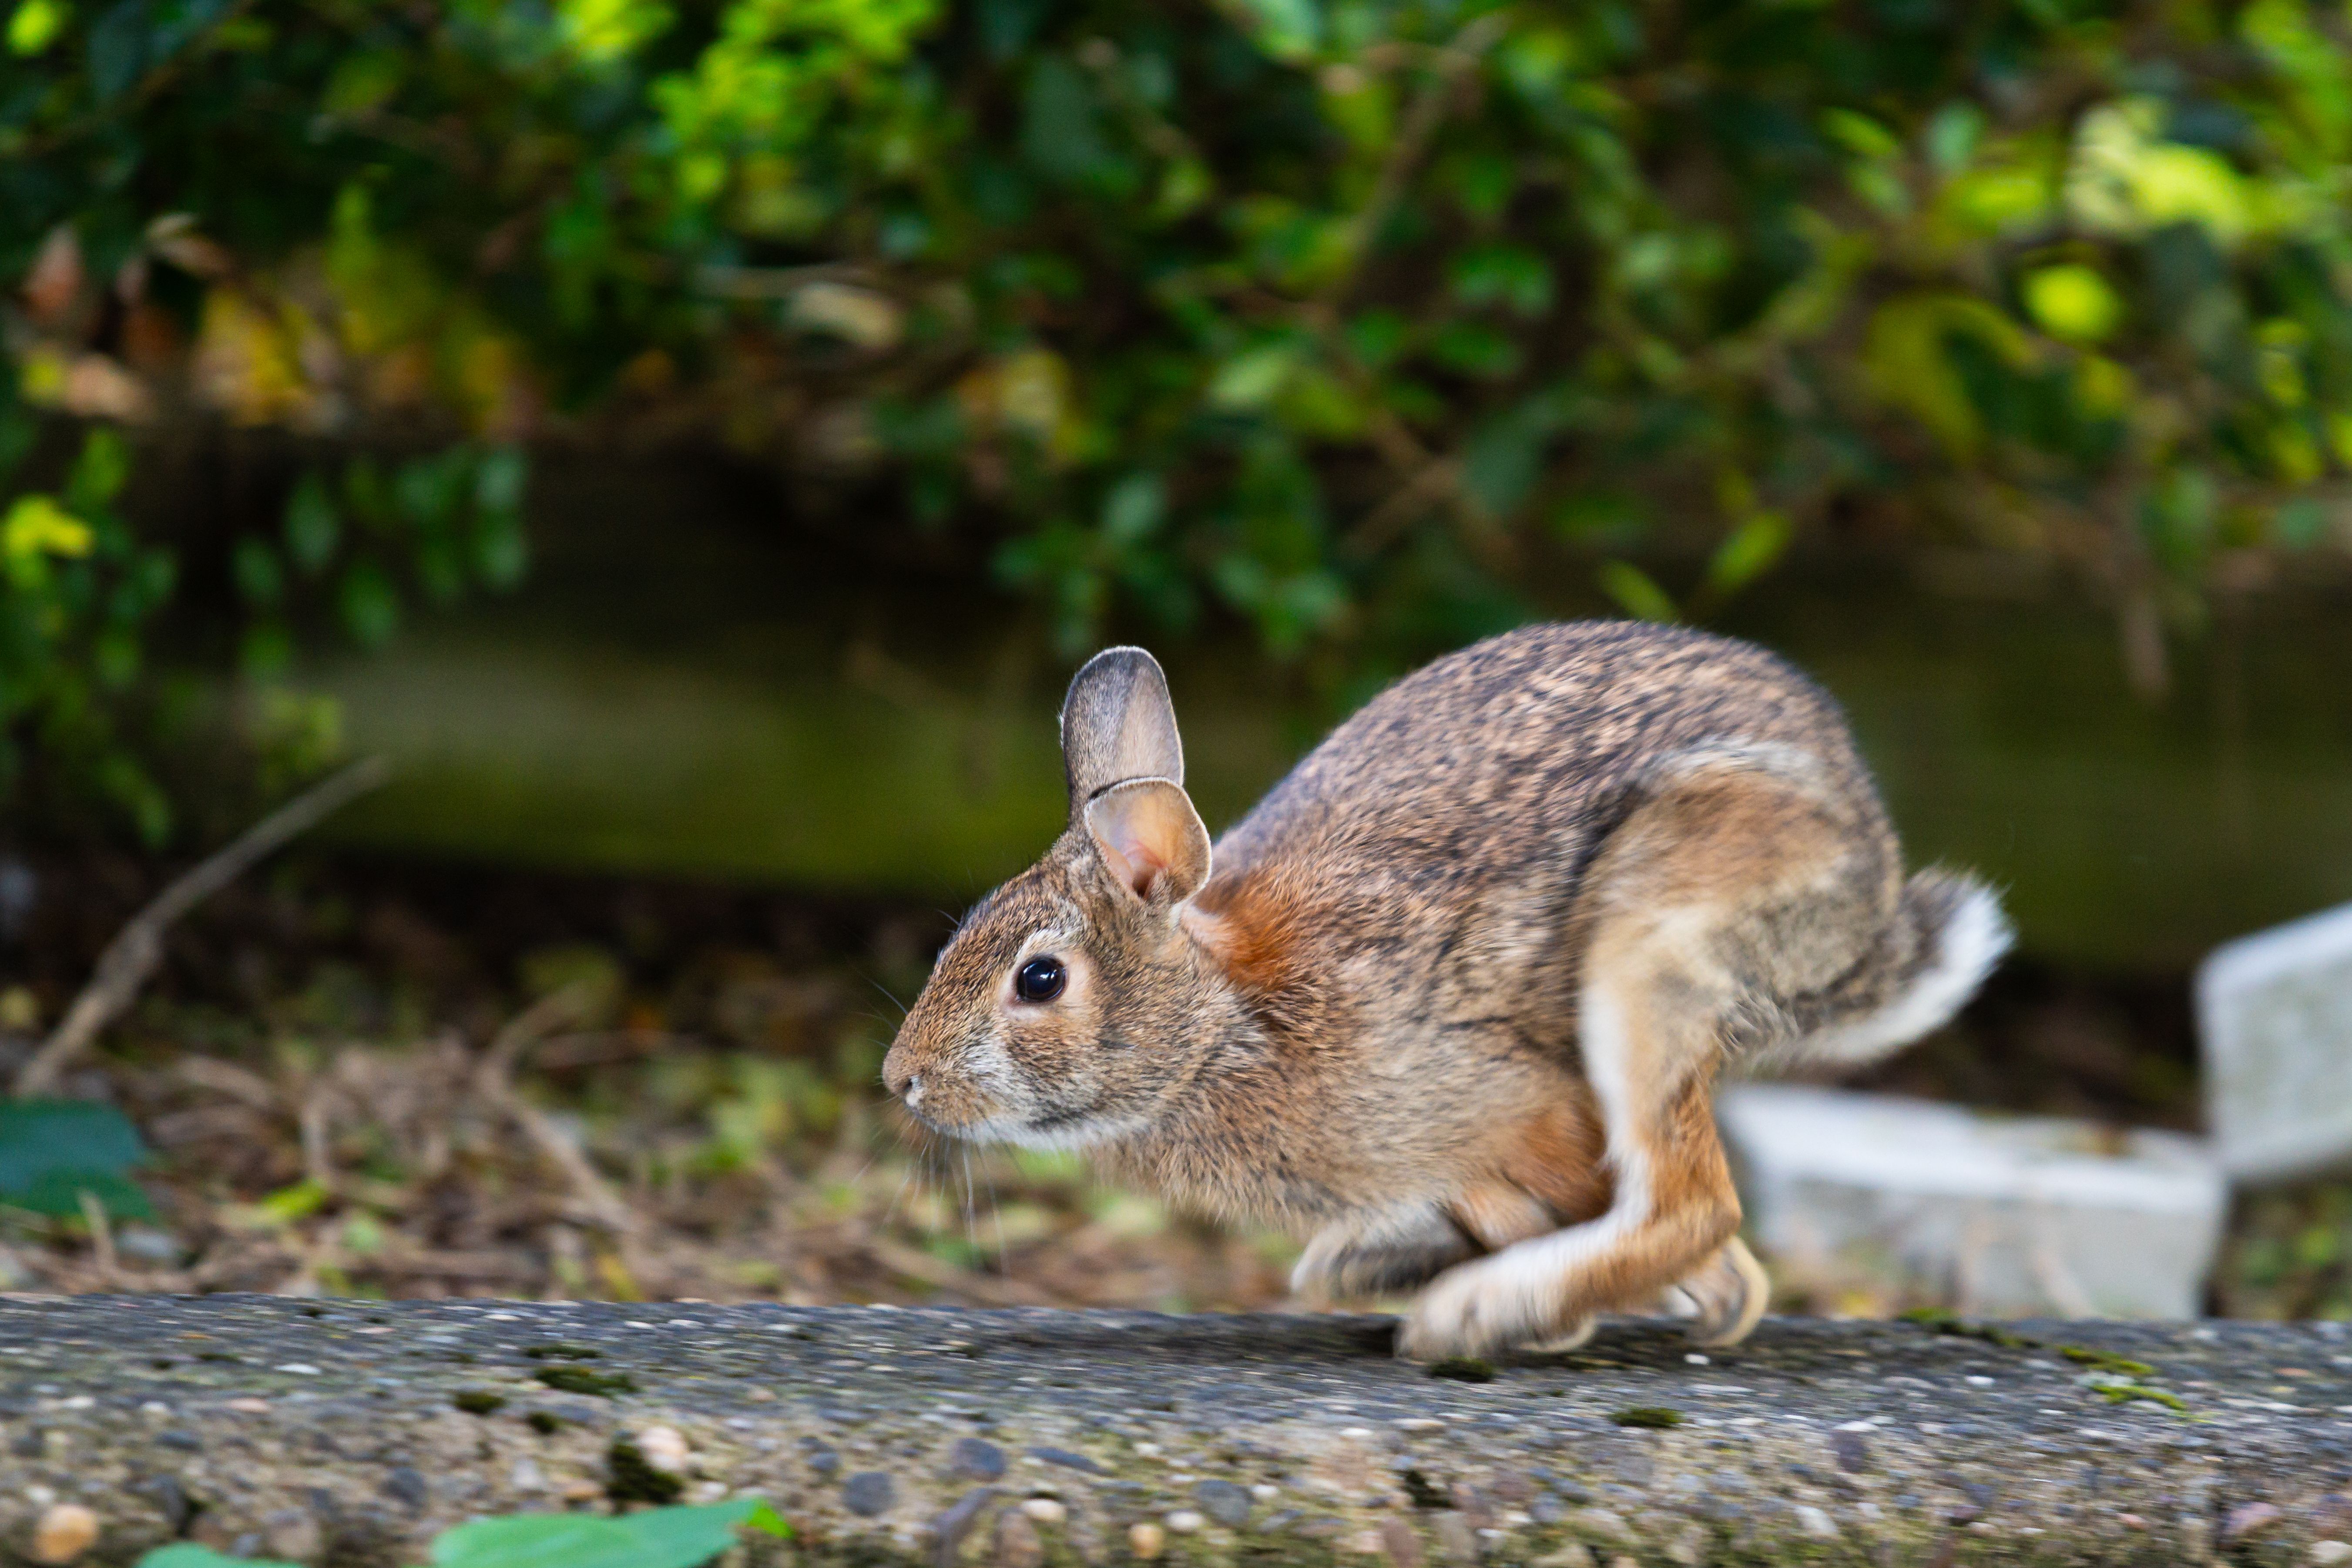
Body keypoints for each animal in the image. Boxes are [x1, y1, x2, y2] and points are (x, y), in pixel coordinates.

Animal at [882, 622, 2009, 1358]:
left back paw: (1468, 1313)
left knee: (1693, 1205)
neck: (1217, 1027)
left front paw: (1523, 1314)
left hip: (1651, 947)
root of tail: (1866, 875)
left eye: (1039, 978)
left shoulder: (1513, 1107)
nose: (902, 1080)